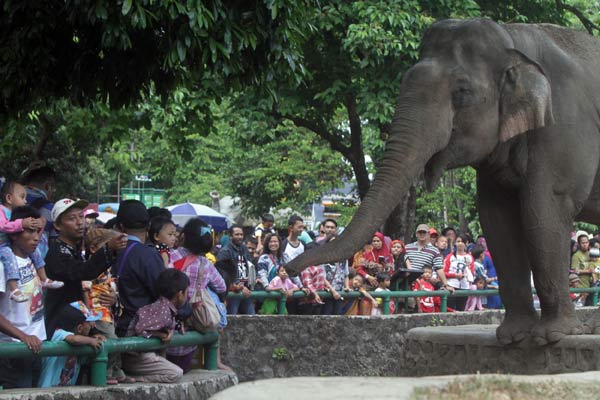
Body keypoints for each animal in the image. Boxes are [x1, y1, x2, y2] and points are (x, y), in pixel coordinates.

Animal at [284, 18, 600, 346]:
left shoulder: (564, 129)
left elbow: (545, 209)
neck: (513, 37)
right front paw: (512, 337)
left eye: (462, 91)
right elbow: (497, 219)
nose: (289, 268)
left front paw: (551, 336)